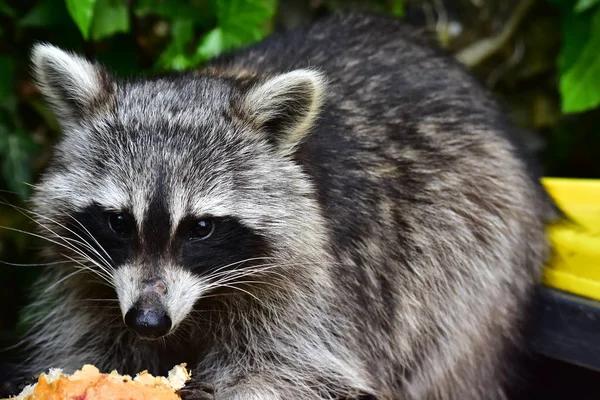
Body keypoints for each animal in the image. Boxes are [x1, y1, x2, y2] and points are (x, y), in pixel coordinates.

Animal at [5, 10, 556, 398]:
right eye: (119, 221)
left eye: (201, 227)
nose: (148, 321)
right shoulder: (90, 285)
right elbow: (92, 344)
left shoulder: (318, 283)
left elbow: (296, 366)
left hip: (476, 261)